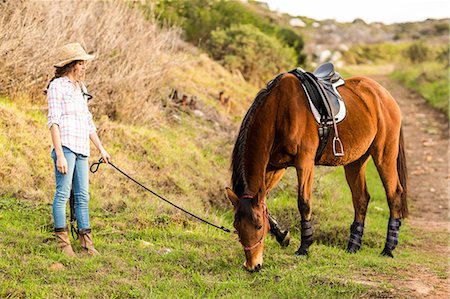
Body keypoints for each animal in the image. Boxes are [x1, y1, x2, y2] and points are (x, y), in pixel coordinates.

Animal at [227, 72, 406, 272]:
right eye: (236, 227)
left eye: (258, 226)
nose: (252, 265)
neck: (279, 109)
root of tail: (384, 94)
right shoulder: (275, 167)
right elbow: (264, 203)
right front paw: (282, 236)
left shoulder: (304, 163)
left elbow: (304, 203)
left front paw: (304, 247)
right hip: (355, 161)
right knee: (361, 198)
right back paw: (353, 246)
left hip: (384, 155)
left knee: (394, 194)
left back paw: (388, 248)